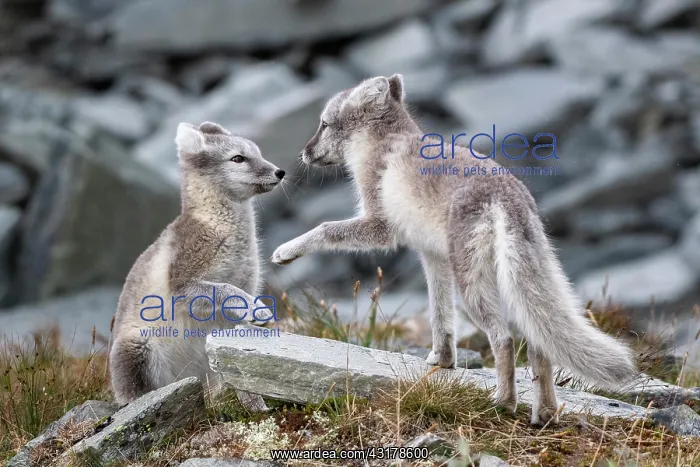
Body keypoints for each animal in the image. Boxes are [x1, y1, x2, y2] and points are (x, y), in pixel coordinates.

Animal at [109, 121, 285, 410]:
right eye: (238, 158)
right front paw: (257, 309)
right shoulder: (181, 284)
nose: (280, 172)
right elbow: (224, 289)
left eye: (257, 153)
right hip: (137, 349)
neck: (219, 227)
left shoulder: (242, 293)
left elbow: (241, 367)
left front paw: (256, 405)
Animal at [271, 74, 637, 425]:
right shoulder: (433, 256)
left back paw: (503, 403)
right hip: (507, 277)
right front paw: (443, 360)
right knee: (539, 345)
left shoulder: (380, 226)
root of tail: (507, 194)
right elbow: (440, 314)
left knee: (504, 339)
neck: (383, 143)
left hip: (473, 284)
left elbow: (325, 228)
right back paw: (544, 414)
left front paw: (287, 251)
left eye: (323, 124)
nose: (303, 153)